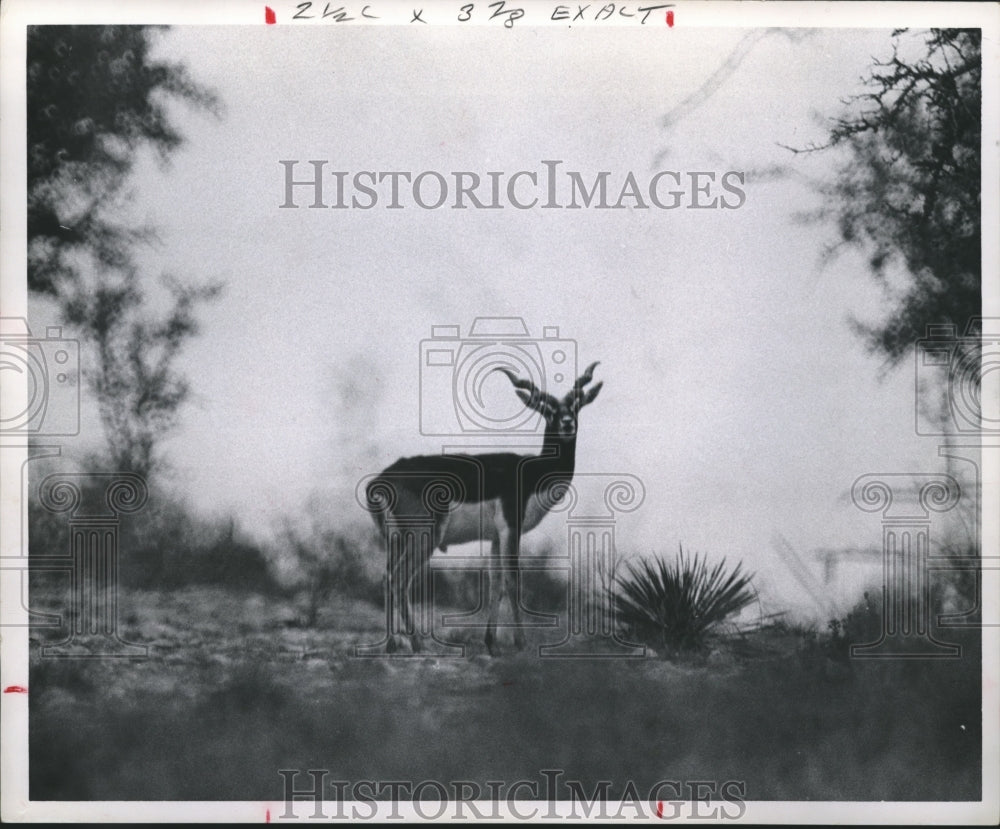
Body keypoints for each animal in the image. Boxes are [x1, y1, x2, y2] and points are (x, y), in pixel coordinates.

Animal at [365, 361, 603, 655]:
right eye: (548, 411)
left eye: (576, 406)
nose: (567, 424)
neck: (532, 472)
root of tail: (383, 478)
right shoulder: (511, 528)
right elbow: (513, 580)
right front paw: (521, 643)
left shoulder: (495, 537)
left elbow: (495, 583)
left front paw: (491, 643)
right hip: (423, 537)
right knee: (398, 580)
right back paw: (417, 644)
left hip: (396, 539)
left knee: (386, 576)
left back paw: (391, 644)